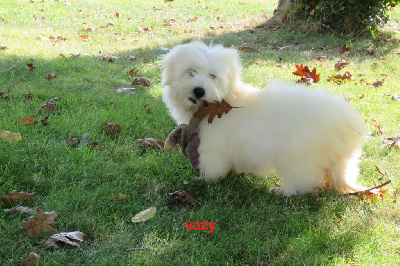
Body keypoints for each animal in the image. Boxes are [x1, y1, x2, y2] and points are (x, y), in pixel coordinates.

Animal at [161, 41, 368, 195]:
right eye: (190, 72)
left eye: (213, 76)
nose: (199, 90)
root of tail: (347, 126)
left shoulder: (212, 148)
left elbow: (213, 168)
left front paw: (205, 179)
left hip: (298, 156)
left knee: (302, 182)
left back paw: (283, 191)